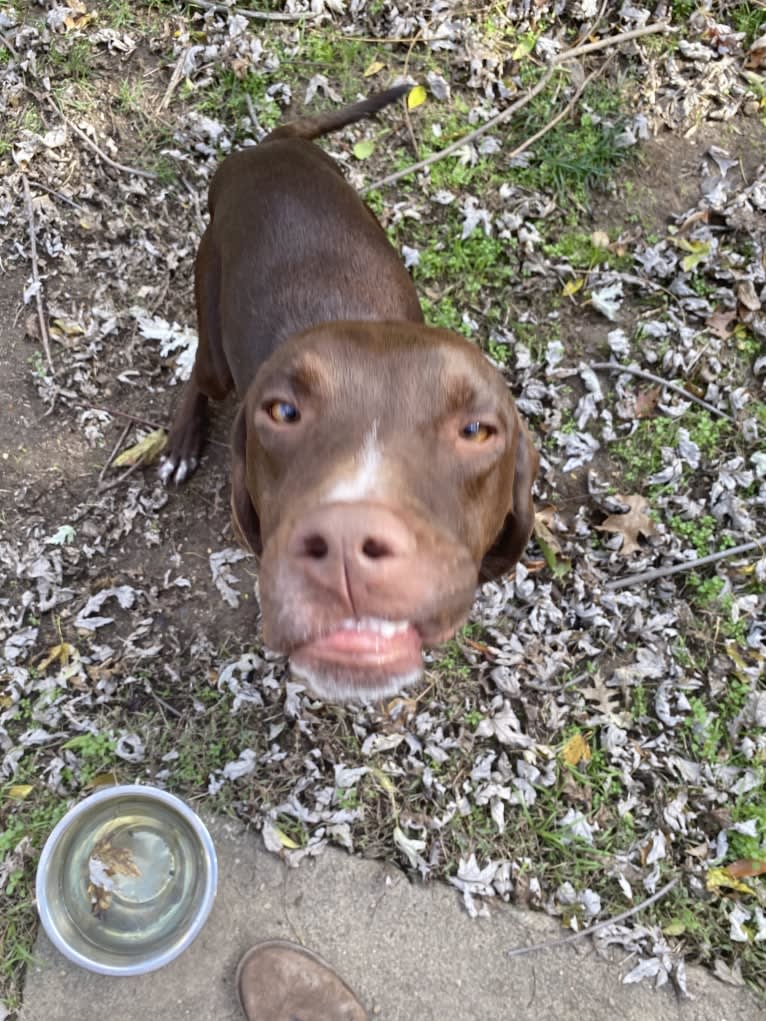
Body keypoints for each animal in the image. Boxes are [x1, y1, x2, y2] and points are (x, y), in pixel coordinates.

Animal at [160, 87, 539, 702]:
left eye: (476, 429)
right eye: (283, 411)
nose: (346, 543)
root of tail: (267, 148)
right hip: (214, 319)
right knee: (199, 369)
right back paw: (181, 444)